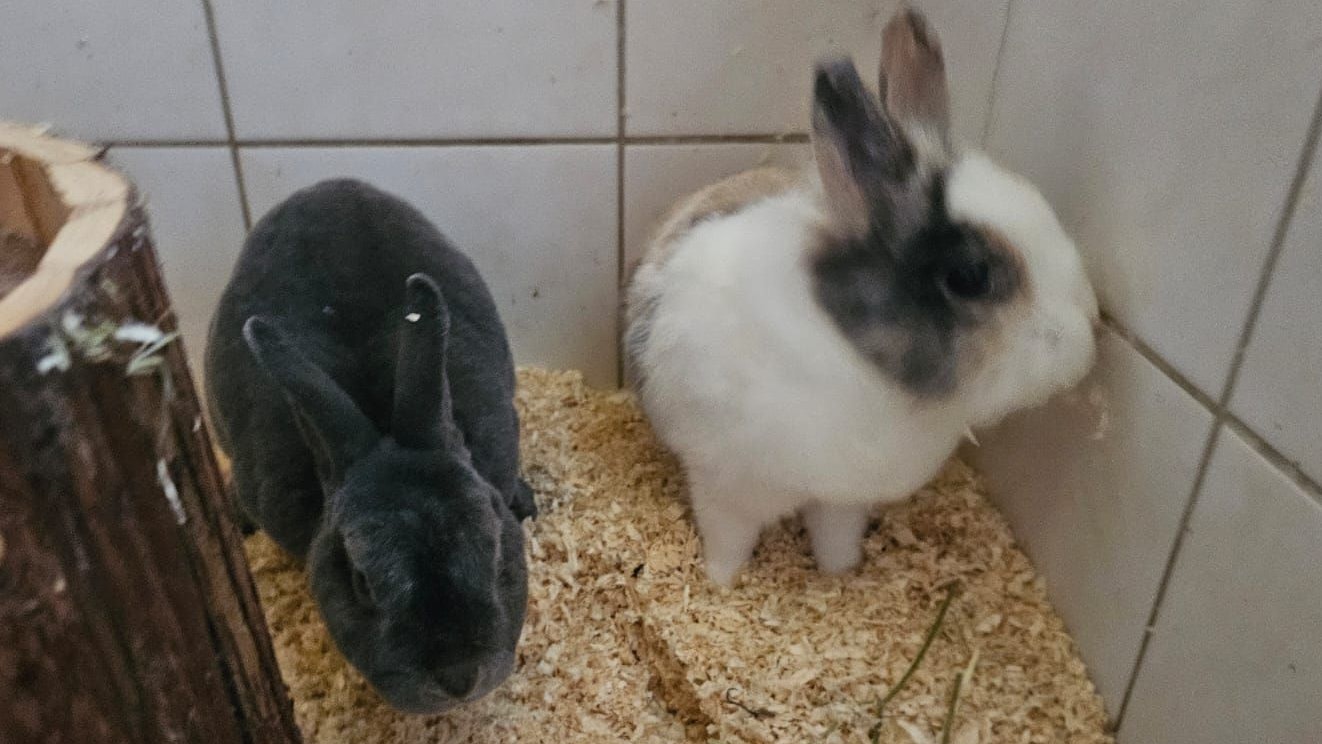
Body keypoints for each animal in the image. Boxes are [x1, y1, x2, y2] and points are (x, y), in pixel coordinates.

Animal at [625, 8, 1099, 586]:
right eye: (969, 276)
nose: (1084, 340)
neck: (857, 359)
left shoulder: (842, 499)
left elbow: (836, 537)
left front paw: (841, 577)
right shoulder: (724, 488)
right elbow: (727, 543)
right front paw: (720, 584)